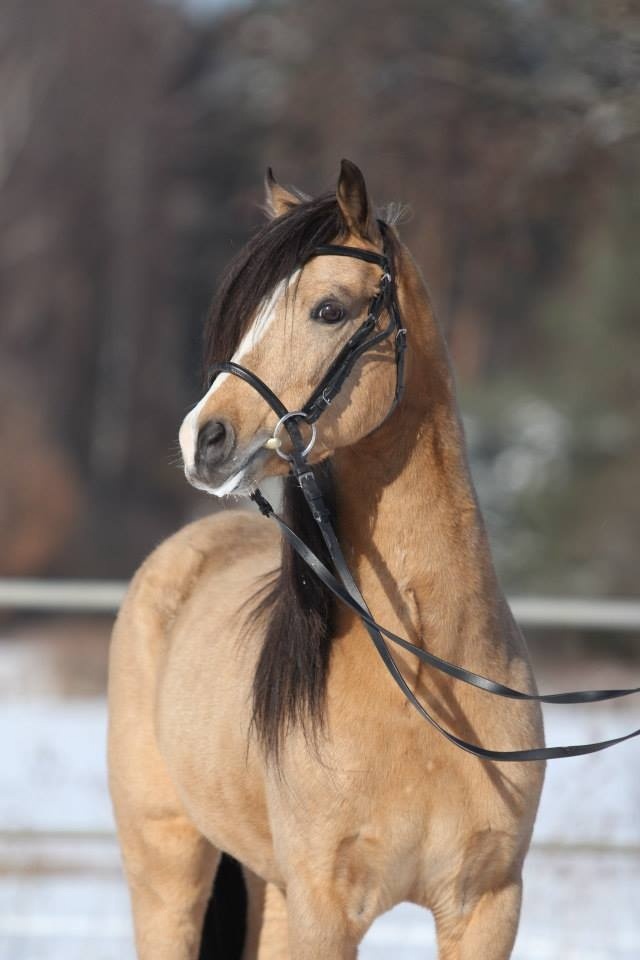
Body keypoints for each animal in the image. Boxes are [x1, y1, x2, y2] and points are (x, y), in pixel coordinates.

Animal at [107, 161, 636, 956]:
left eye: (329, 309)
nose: (204, 438)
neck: (424, 673)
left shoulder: (486, 905)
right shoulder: (326, 911)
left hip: (269, 889)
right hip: (169, 868)